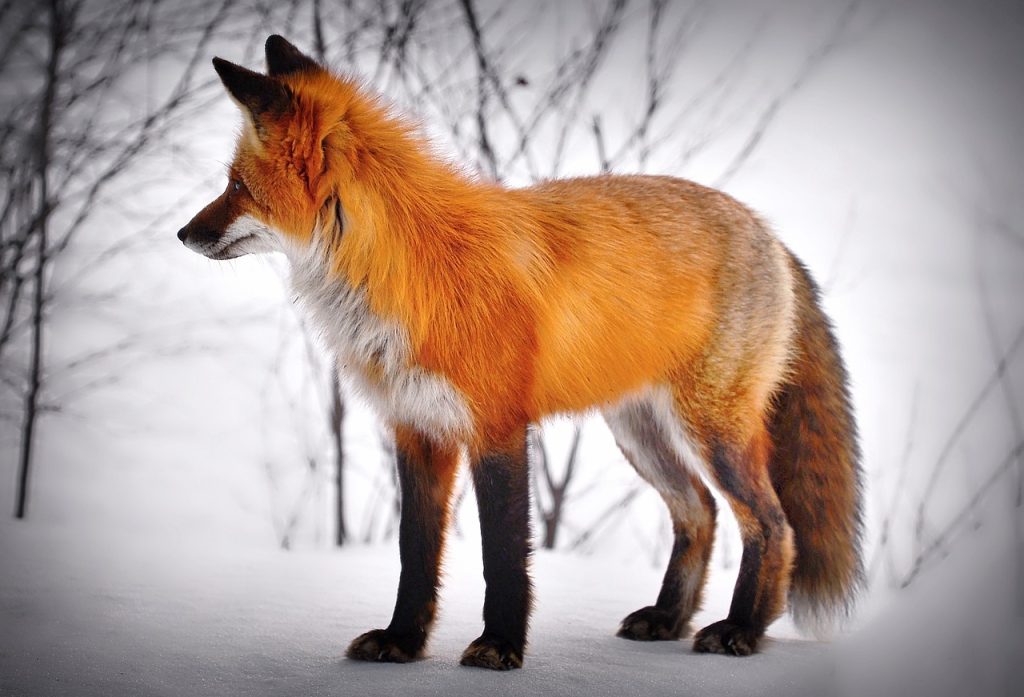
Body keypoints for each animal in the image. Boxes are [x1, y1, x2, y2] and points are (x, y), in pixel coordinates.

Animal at [178, 35, 863, 669]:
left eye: (235, 186)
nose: (183, 234)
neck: (405, 269)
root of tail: (767, 229)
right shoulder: (417, 428)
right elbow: (414, 555)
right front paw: (402, 641)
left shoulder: (497, 427)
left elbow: (503, 554)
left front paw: (500, 646)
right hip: (640, 432)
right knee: (700, 514)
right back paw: (669, 618)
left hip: (712, 429)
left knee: (772, 524)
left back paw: (742, 629)